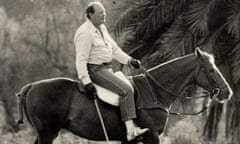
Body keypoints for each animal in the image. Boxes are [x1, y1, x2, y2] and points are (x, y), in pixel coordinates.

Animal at [16, 47, 231, 143]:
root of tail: (31, 86)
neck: (156, 92)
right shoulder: (152, 136)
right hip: (47, 133)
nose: (227, 92)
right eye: (210, 69)